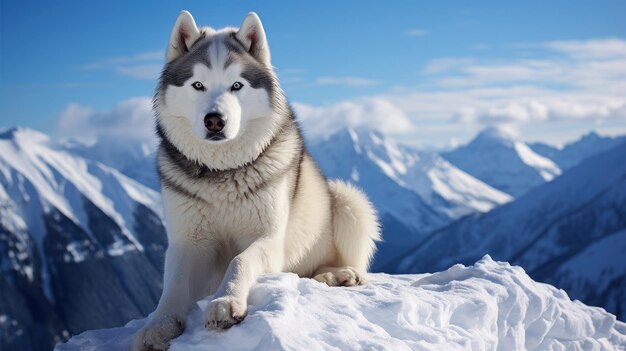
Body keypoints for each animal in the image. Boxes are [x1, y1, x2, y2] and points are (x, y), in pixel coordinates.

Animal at [133, 11, 378, 351]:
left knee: (341, 263)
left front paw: (225, 303)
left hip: (347, 200)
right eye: (198, 85)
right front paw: (159, 325)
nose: (215, 120)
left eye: (237, 85)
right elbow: (175, 285)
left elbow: (240, 260)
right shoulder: (188, 243)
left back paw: (339, 274)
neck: (221, 174)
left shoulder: (268, 238)